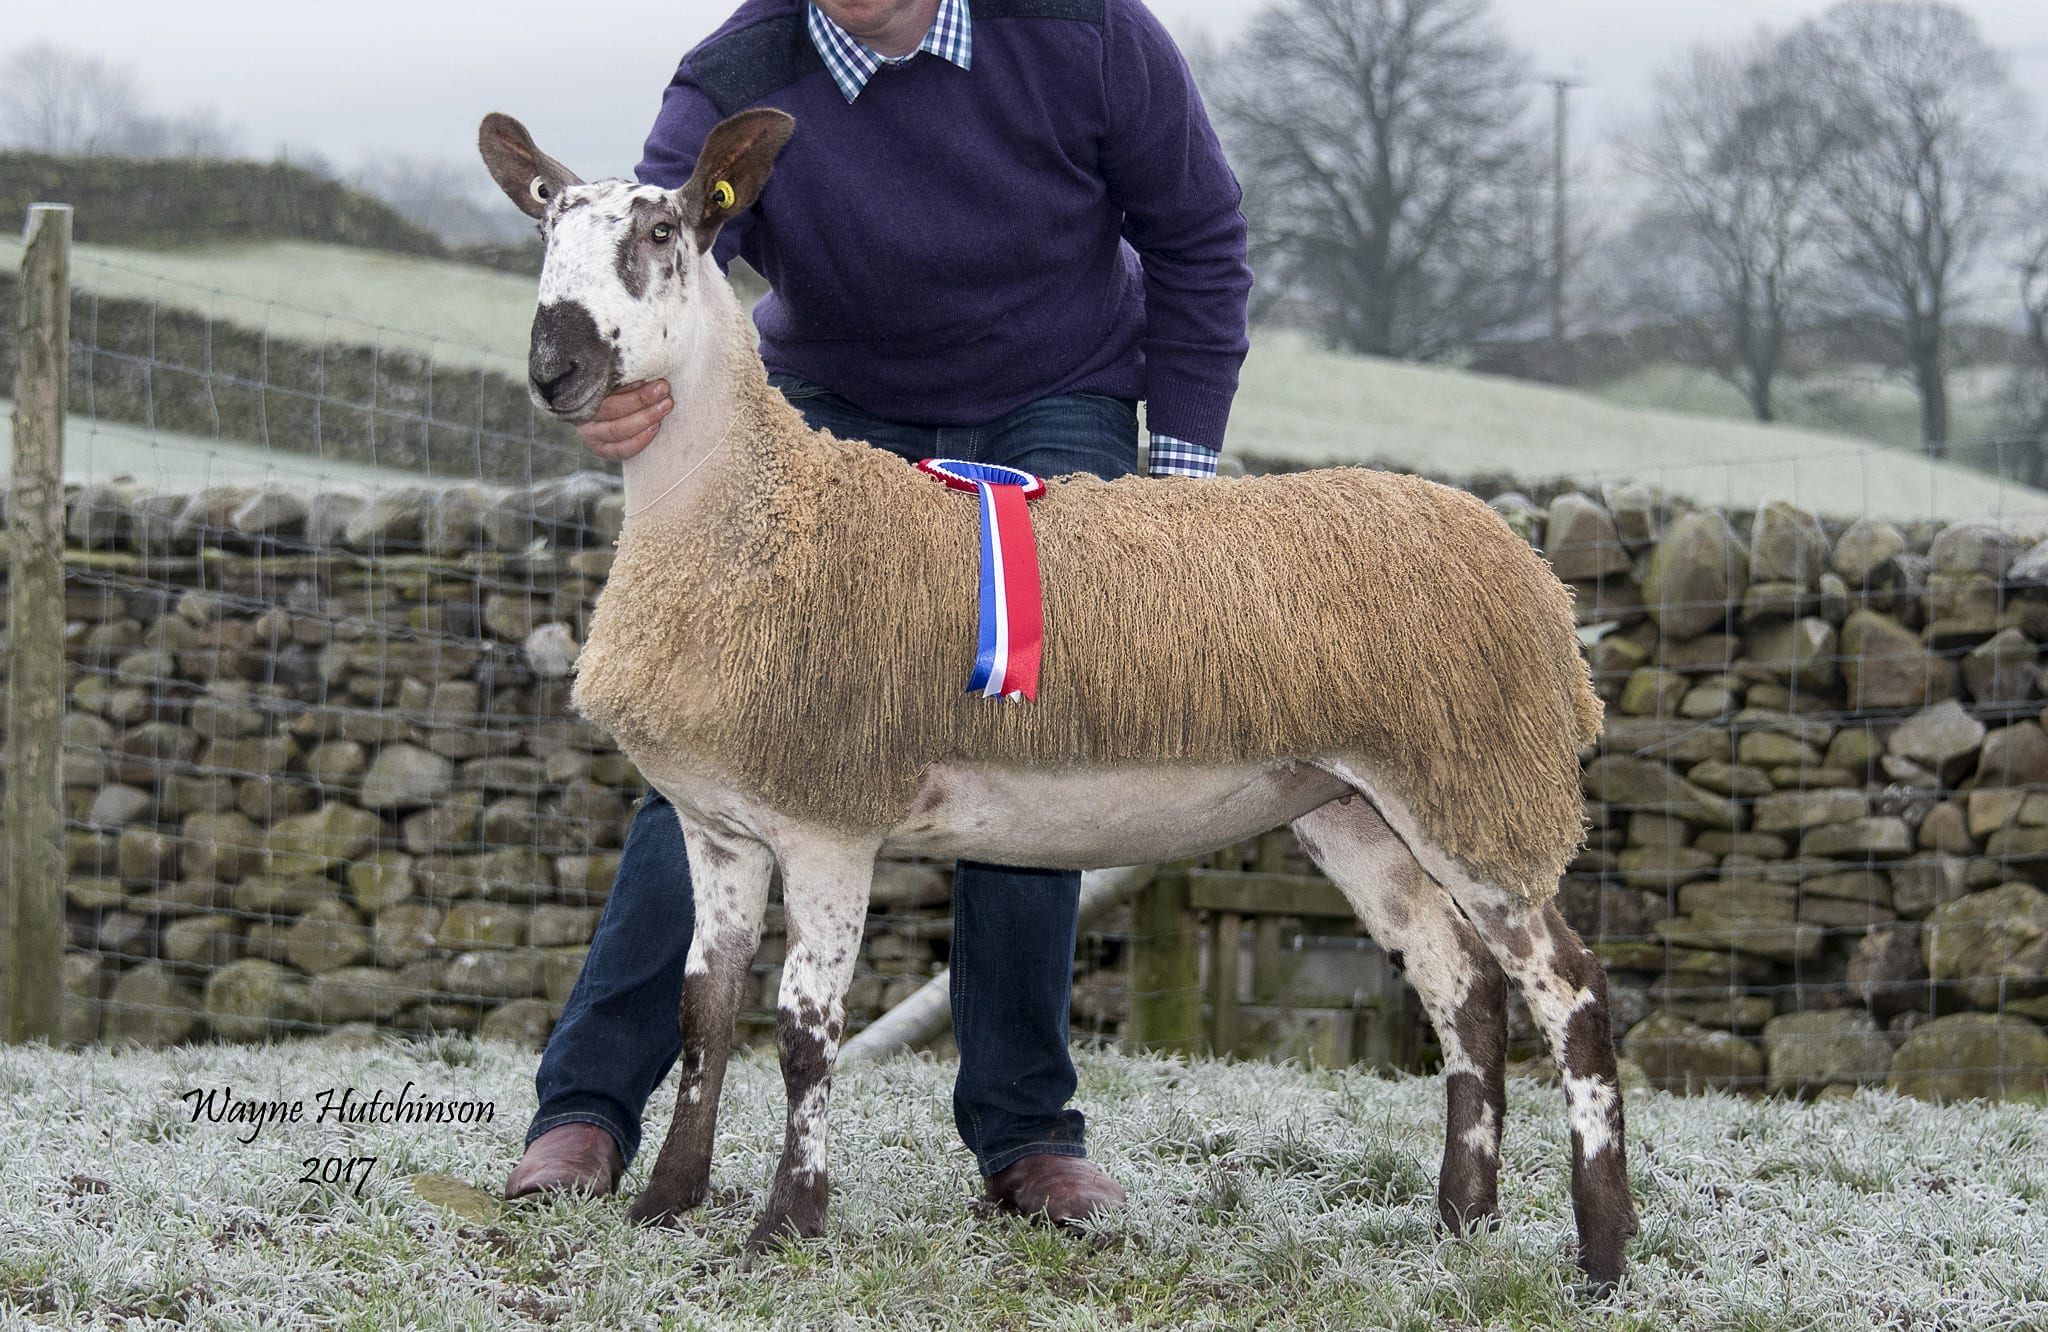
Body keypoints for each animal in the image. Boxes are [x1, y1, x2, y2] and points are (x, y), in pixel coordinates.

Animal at [475, 109, 1630, 1278]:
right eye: (545, 229)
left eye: (661, 232)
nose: (556, 368)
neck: (752, 512)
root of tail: (1528, 569)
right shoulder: (716, 827)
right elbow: (702, 1013)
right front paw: (664, 1204)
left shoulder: (830, 818)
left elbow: (803, 1033)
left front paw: (787, 1224)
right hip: (1354, 806)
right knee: (1465, 990)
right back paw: (1461, 1220)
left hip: (1474, 782)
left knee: (1570, 990)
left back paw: (1602, 1252)